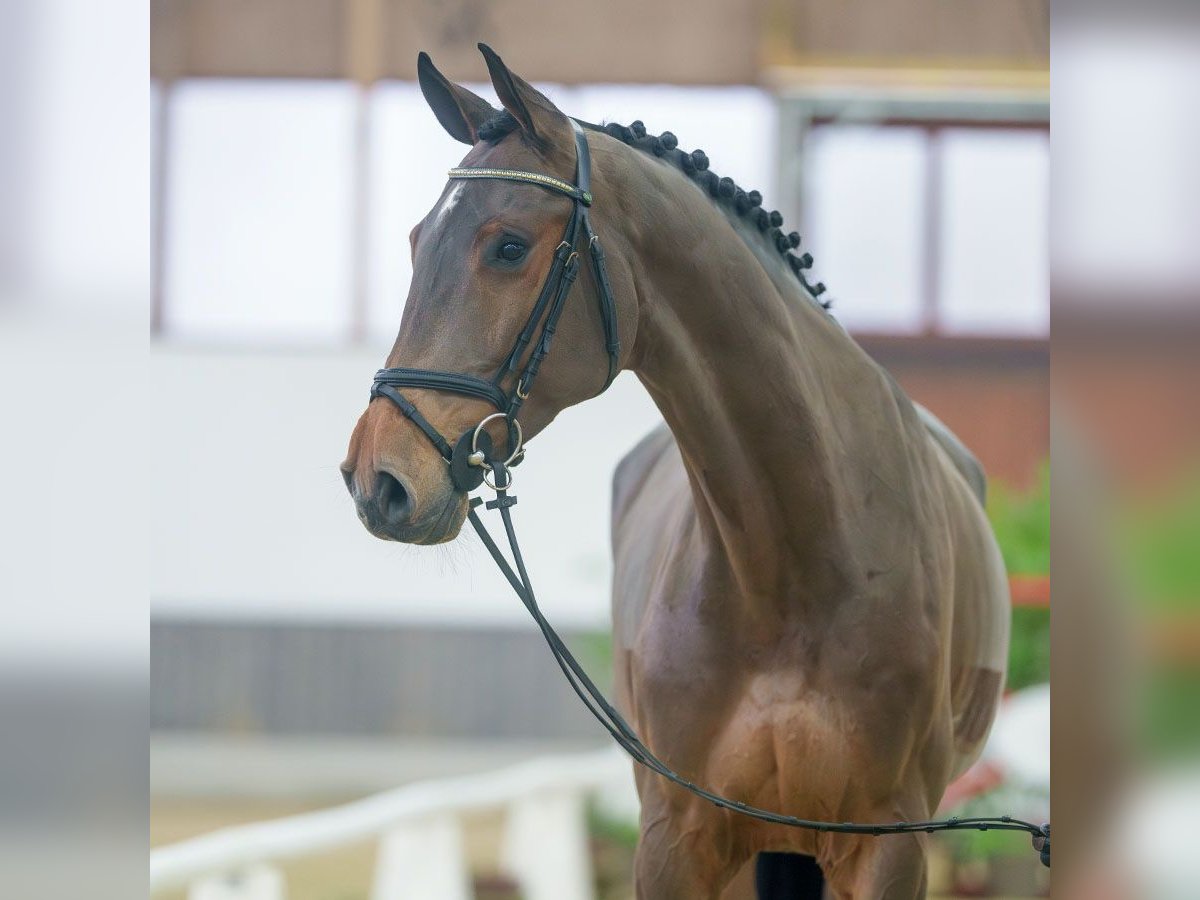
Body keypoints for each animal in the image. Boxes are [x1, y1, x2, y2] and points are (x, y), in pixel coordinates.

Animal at [343, 47, 1008, 900]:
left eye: (509, 246)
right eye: (417, 240)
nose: (378, 478)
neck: (795, 562)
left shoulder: (888, 847)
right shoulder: (676, 837)